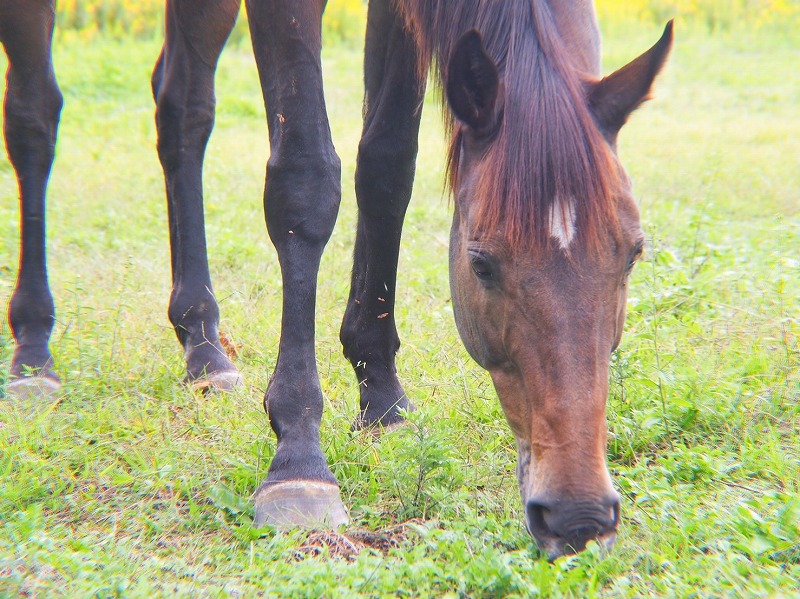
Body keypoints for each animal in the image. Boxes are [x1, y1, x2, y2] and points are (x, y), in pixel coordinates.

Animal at [3, 1, 672, 564]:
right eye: (481, 263)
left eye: (632, 255)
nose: (580, 514)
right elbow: (305, 178)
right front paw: (299, 455)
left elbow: (387, 162)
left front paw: (381, 397)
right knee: (34, 117)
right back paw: (34, 350)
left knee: (183, 110)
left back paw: (203, 345)